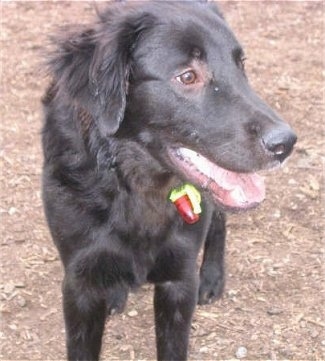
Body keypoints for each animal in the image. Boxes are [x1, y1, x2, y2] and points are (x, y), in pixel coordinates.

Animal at [41, 1, 294, 358]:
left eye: (240, 65)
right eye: (187, 76)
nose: (286, 143)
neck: (134, 187)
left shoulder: (179, 279)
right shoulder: (80, 284)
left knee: (219, 220)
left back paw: (212, 277)